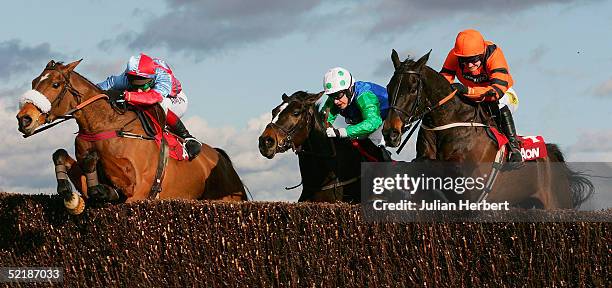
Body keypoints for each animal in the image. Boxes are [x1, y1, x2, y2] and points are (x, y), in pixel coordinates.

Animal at [17, 60, 246, 214]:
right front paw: (72, 197)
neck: (104, 124)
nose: (24, 119)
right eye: (34, 82)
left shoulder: (137, 187)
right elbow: (61, 155)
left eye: (55, 84)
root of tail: (220, 157)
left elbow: (98, 160)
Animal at [380, 50, 592, 209]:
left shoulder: (469, 184)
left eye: (412, 89)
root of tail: (551, 153)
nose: (390, 133)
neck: (446, 123)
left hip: (556, 205)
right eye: (389, 87)